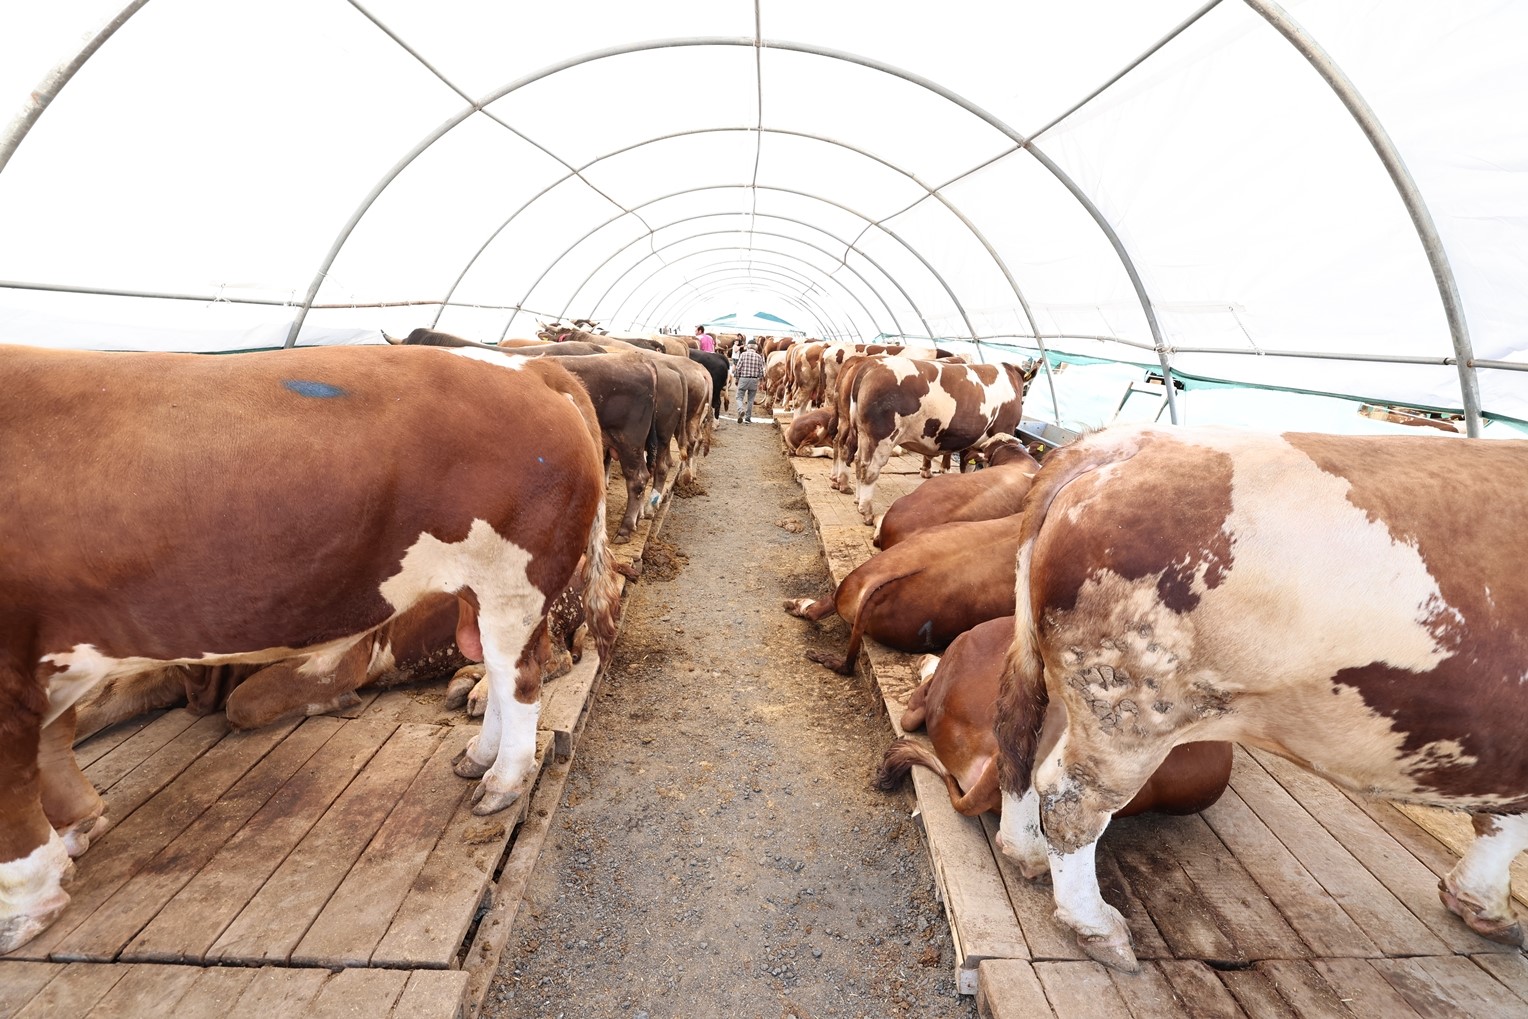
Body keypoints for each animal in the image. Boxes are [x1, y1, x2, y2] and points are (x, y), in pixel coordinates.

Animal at [1, 345, 620, 959]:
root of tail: (530, 367)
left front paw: (25, 909)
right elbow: (65, 735)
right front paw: (76, 830)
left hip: (511, 584)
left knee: (520, 677)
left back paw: (502, 781)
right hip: (478, 594)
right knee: (496, 666)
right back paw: (478, 755)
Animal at [996, 421, 1528, 971]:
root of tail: (1123, 441)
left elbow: (1502, 824)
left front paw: (1481, 902)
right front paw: (1485, 902)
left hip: (1068, 684)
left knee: (1021, 741)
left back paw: (1025, 851)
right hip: (1131, 709)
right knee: (1071, 798)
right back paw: (1095, 925)